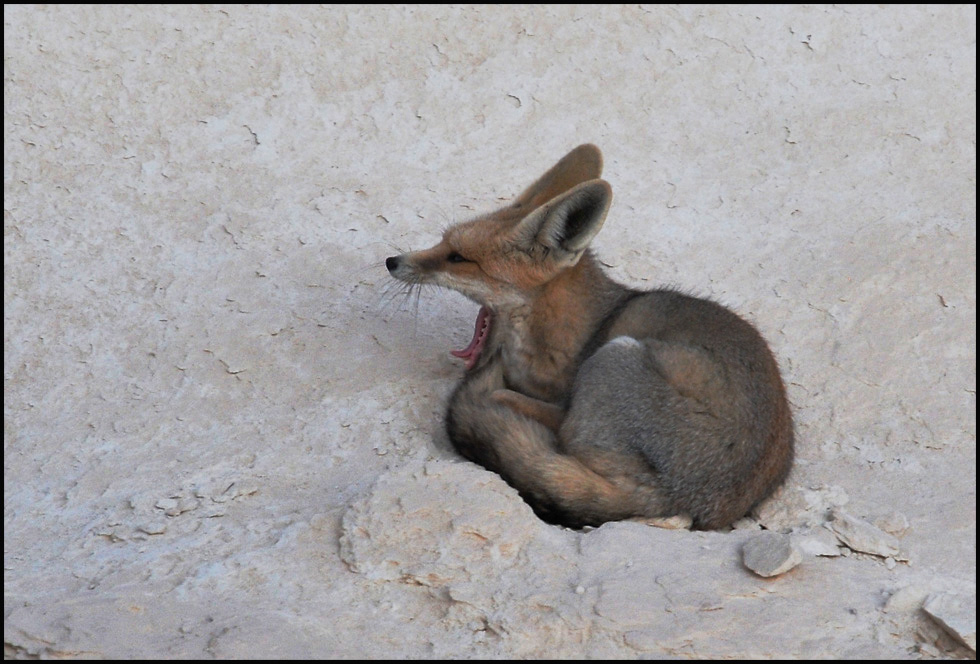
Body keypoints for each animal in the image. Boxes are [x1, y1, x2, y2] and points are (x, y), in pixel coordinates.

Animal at [386, 144, 792, 528]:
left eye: (458, 258)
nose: (391, 261)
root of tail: (678, 500)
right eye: (443, 243)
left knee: (555, 431)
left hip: (615, 356)